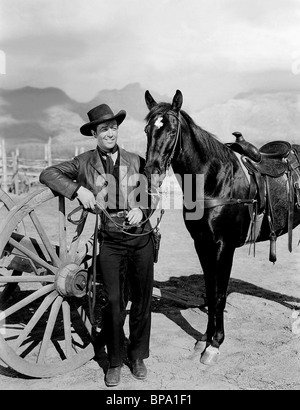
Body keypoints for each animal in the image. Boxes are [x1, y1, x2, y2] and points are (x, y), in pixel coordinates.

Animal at [142, 90, 300, 366]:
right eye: (147, 130)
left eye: (172, 131)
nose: (152, 173)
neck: (213, 180)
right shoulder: (202, 244)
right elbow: (210, 289)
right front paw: (204, 339)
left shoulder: (223, 247)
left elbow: (219, 294)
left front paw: (215, 344)